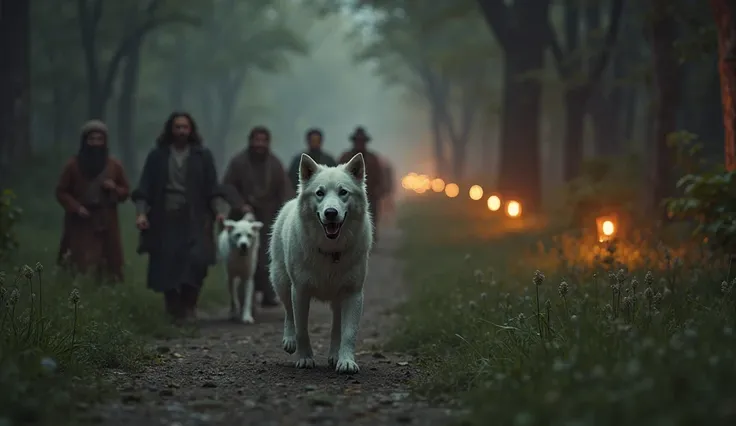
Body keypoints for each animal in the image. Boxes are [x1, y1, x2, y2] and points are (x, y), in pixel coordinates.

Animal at [268, 152, 374, 372]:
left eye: (343, 192)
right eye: (319, 193)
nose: (331, 213)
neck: (331, 250)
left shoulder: (353, 293)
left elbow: (348, 333)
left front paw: (346, 361)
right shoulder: (300, 291)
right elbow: (301, 329)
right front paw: (305, 359)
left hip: (337, 298)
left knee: (336, 327)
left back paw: (334, 355)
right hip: (281, 281)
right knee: (288, 312)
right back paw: (289, 340)